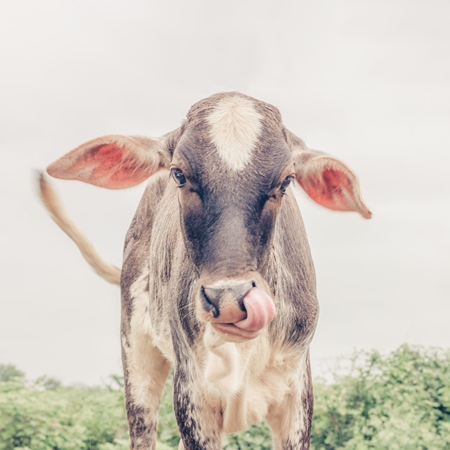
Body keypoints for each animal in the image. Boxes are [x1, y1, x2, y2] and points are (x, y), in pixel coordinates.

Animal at [38, 92, 370, 450]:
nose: (230, 300)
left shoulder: (297, 396)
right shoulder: (191, 398)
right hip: (136, 357)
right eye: (179, 174)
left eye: (286, 181)